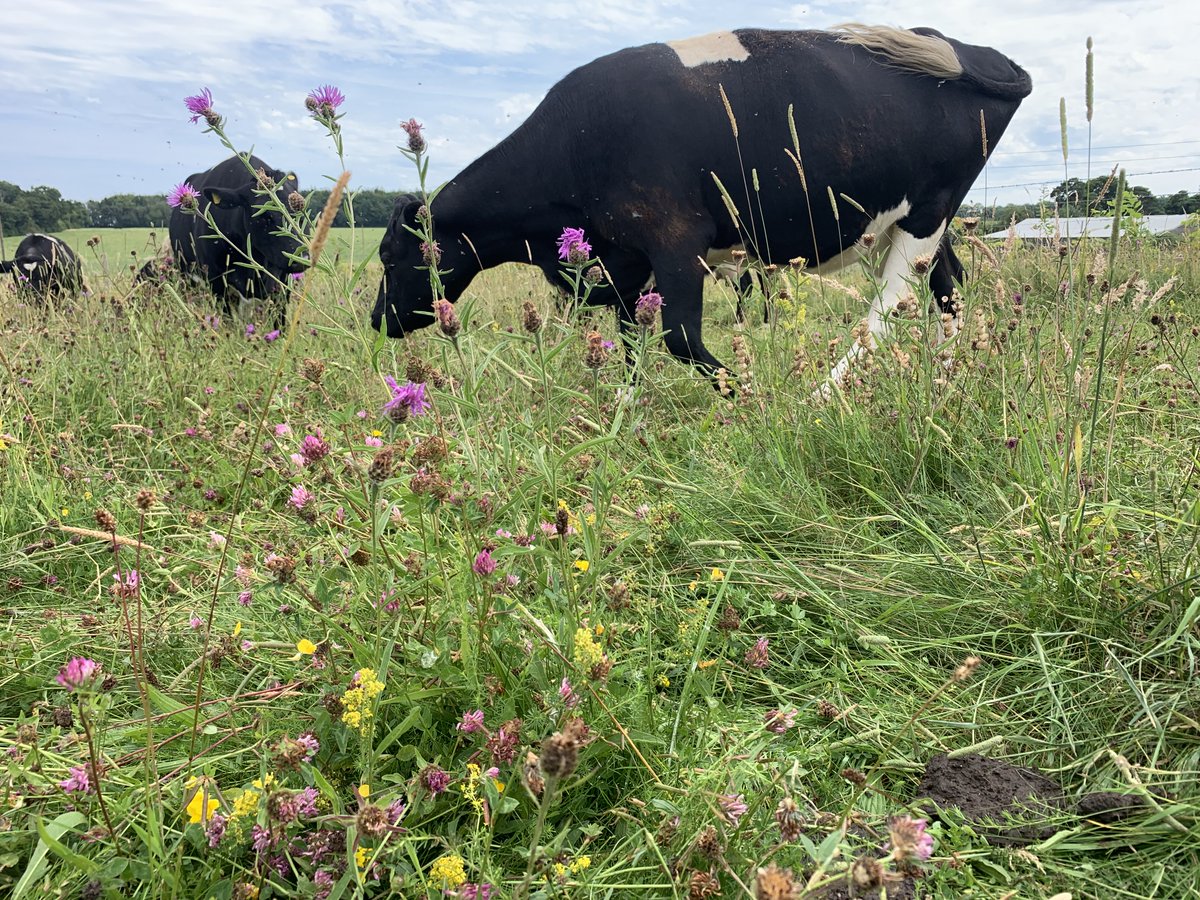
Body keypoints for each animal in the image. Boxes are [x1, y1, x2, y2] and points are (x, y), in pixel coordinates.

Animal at [372, 25, 1031, 385]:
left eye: (387, 256)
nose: (378, 320)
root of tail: (969, 51)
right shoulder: (629, 261)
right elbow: (631, 344)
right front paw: (626, 419)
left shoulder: (675, 241)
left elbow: (679, 339)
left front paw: (745, 396)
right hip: (913, 224)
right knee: (947, 289)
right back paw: (945, 377)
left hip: (926, 214)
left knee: (889, 306)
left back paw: (826, 396)